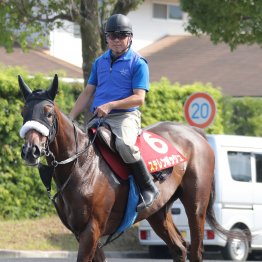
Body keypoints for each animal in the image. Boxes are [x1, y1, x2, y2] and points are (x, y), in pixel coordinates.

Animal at [17, 74, 231, 262]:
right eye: (23, 113)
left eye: (48, 113)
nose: (30, 151)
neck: (80, 166)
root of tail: (195, 133)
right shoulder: (83, 233)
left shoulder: (91, 230)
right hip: (158, 212)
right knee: (179, 248)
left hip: (196, 205)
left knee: (196, 249)